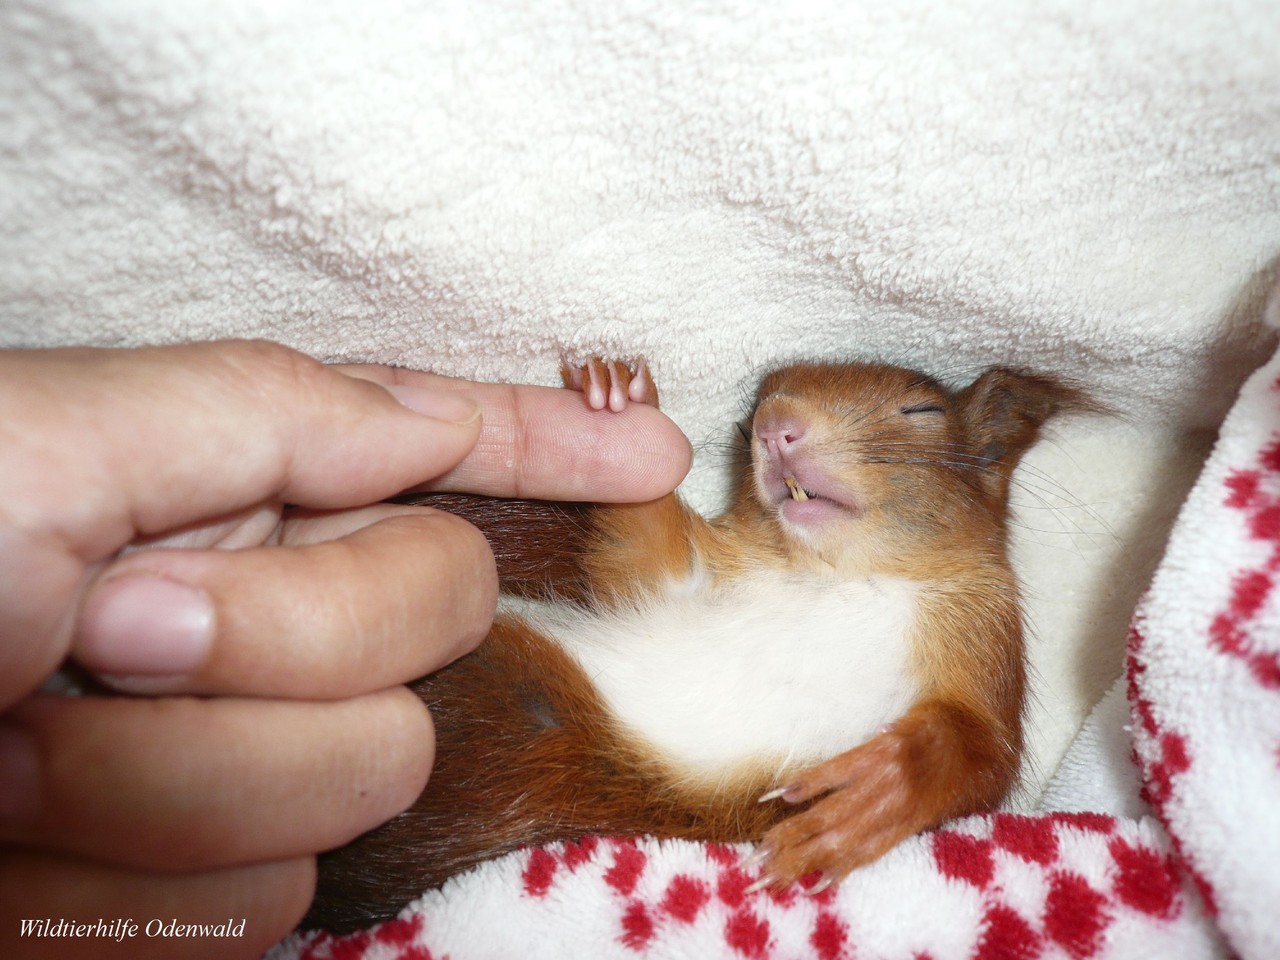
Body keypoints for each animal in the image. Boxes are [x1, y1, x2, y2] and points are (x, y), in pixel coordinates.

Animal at [304, 355, 1085, 931]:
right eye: (748, 417)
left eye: (921, 412)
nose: (775, 425)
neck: (837, 572)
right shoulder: (700, 579)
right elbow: (646, 557)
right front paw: (625, 411)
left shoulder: (984, 639)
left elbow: (979, 750)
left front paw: (871, 792)